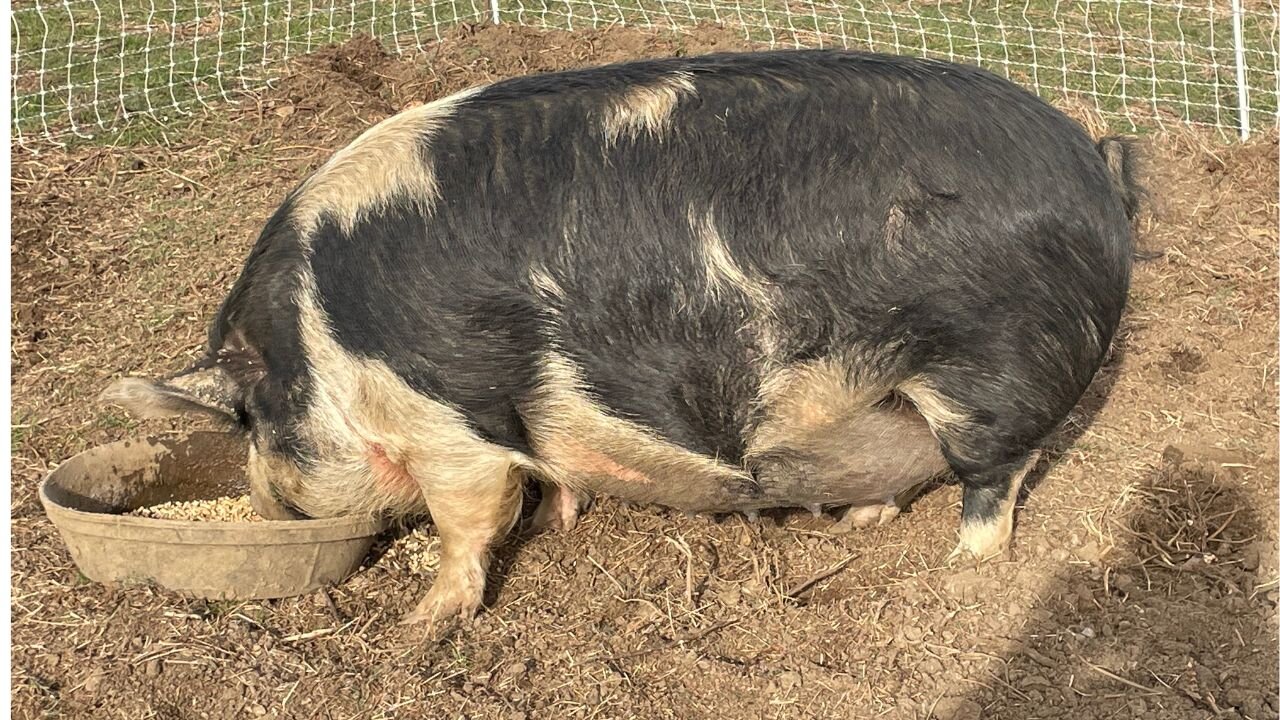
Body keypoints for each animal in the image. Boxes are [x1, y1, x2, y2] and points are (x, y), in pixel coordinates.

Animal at [97, 47, 1141, 627]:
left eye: (253, 424)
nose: (268, 504)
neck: (322, 346)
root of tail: (1092, 167)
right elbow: (538, 484)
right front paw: (560, 517)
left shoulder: (447, 423)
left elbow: (467, 522)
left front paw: (424, 624)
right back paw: (856, 521)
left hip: (989, 367)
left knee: (995, 477)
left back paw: (963, 567)